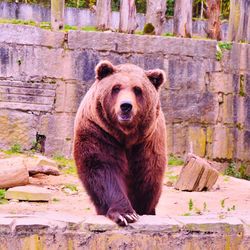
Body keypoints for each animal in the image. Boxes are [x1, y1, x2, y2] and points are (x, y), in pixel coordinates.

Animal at [73, 60, 167, 227]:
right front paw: (126, 214)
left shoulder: (147, 141)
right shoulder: (98, 131)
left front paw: (140, 210)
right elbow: (103, 169)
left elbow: (146, 175)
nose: (126, 106)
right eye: (116, 88)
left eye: (138, 90)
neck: (126, 135)